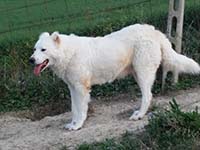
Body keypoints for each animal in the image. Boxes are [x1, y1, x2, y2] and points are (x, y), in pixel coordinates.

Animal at [30, 23, 200, 130]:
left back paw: (139, 115)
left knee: (148, 96)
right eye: (34, 49)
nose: (31, 60)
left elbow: (81, 109)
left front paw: (78, 125)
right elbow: (74, 109)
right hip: (137, 73)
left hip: (143, 73)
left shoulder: (81, 89)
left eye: (43, 50)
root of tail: (153, 30)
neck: (68, 53)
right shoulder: (73, 88)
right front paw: (73, 124)